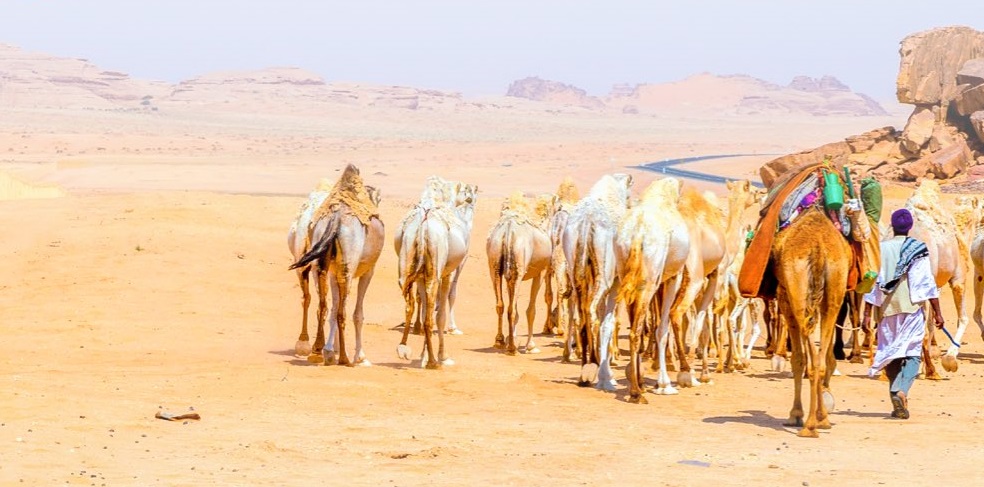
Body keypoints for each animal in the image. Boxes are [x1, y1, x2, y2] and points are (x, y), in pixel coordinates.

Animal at [288, 166, 384, 368]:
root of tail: (336, 219)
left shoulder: (332, 271)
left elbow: (332, 307)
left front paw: (330, 350)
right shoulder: (368, 271)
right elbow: (357, 314)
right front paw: (360, 357)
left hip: (319, 263)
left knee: (321, 303)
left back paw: (317, 350)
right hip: (347, 267)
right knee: (341, 311)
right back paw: (344, 358)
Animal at [398, 181, 478, 368]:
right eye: (469, 195)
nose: (472, 200)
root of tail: (423, 221)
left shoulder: (421, 276)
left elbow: (425, 306)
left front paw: (423, 355)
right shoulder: (450, 272)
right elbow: (443, 309)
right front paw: (443, 355)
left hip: (407, 266)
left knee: (411, 304)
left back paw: (404, 348)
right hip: (436, 271)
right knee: (431, 313)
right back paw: (434, 361)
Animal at [488, 193, 556, 356]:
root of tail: (508, 230)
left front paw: (513, 338)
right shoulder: (540, 272)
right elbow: (531, 310)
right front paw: (531, 346)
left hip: (494, 266)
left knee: (500, 305)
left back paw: (500, 341)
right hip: (519, 268)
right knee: (511, 309)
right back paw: (512, 348)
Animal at [564, 173, 636, 390]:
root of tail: (587, 221)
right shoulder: (616, 283)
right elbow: (608, 322)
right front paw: (608, 376)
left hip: (575, 272)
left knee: (580, 313)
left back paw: (584, 370)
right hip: (604, 276)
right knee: (592, 313)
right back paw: (593, 365)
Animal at [620, 177, 688, 402]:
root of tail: (638, 232)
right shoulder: (673, 277)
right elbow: (662, 327)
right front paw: (665, 384)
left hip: (626, 275)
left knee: (635, 327)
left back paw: (637, 385)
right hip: (648, 280)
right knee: (637, 330)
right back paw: (636, 392)